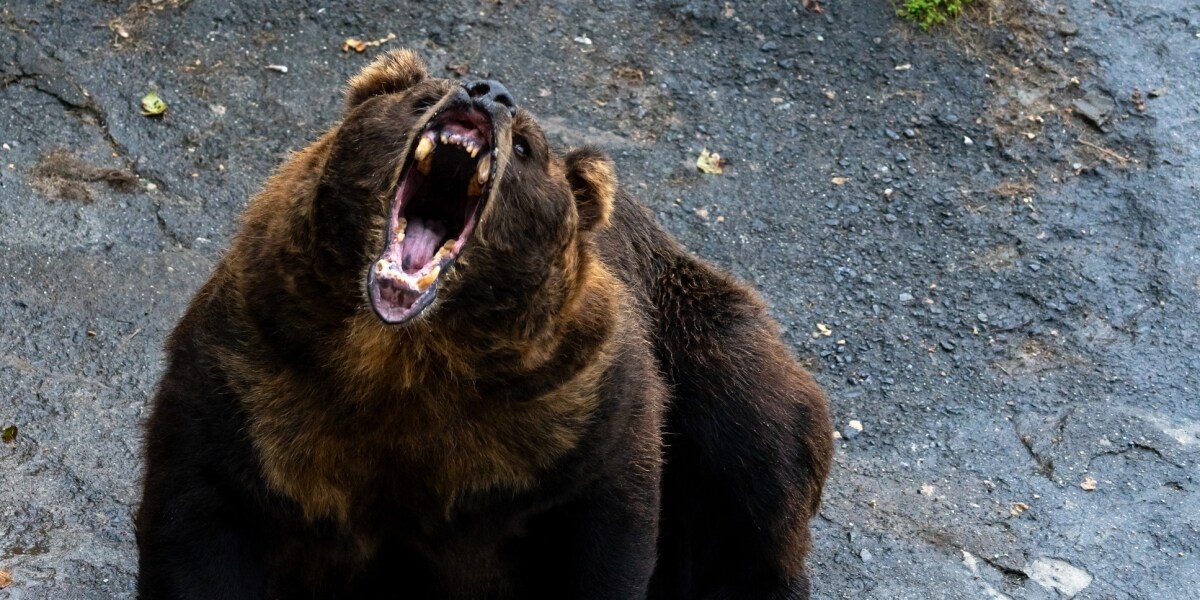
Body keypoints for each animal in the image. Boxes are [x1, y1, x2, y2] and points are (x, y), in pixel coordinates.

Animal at [136, 49, 833, 600]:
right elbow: (199, 526)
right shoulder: (258, 378)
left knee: (755, 442)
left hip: (700, 336)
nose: (487, 91)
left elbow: (605, 541)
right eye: (423, 95)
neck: (405, 351)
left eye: (526, 148)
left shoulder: (575, 417)